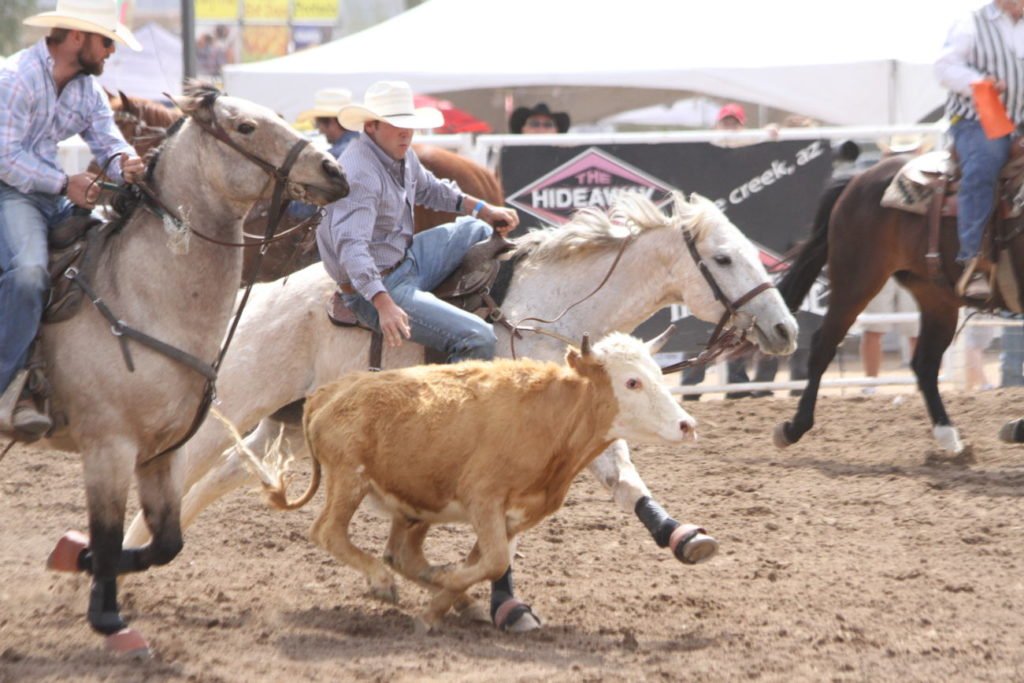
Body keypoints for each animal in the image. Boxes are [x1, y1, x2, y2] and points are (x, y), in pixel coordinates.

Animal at [29, 82, 348, 655]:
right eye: (245, 126)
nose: (334, 170)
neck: (140, 297)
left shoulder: (161, 451)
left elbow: (167, 543)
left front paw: (78, 561)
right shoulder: (108, 447)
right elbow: (107, 536)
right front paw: (108, 619)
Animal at [123, 189, 798, 626]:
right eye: (723, 258)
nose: (786, 329)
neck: (548, 309)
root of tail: (258, 293)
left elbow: (628, 483)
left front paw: (685, 537)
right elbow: (497, 534)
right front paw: (505, 603)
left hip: (279, 423)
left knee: (219, 476)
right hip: (239, 397)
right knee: (181, 465)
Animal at [774, 153, 1024, 454]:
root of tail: (860, 178)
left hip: (936, 296)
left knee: (925, 363)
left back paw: (948, 435)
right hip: (856, 282)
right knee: (823, 345)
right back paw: (793, 428)